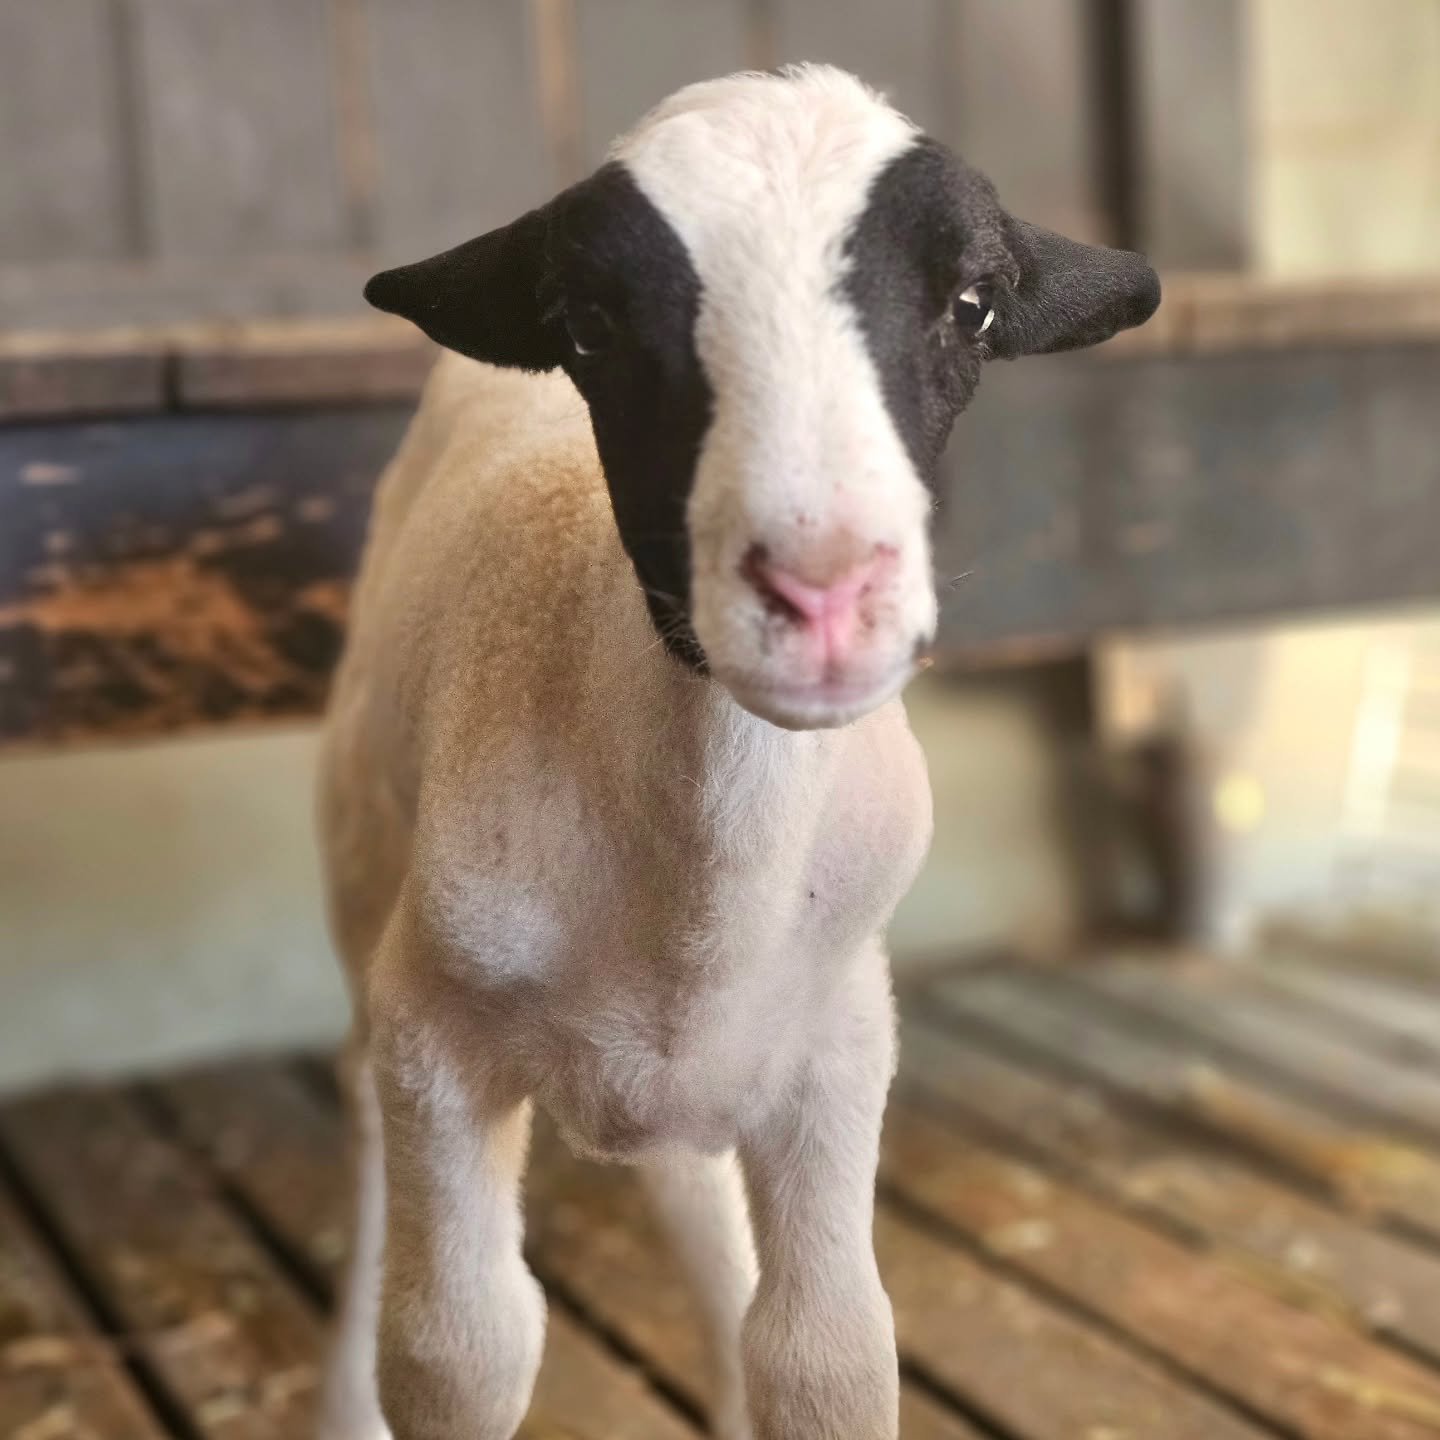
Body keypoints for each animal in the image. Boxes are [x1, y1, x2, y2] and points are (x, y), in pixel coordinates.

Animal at [315, 64, 1159, 1440]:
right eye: (588, 322)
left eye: (973, 304)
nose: (822, 590)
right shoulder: (435, 1032)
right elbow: (456, 1348)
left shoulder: (836, 1038)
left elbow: (827, 1354)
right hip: (360, 876)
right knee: (368, 1137)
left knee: (693, 1193)